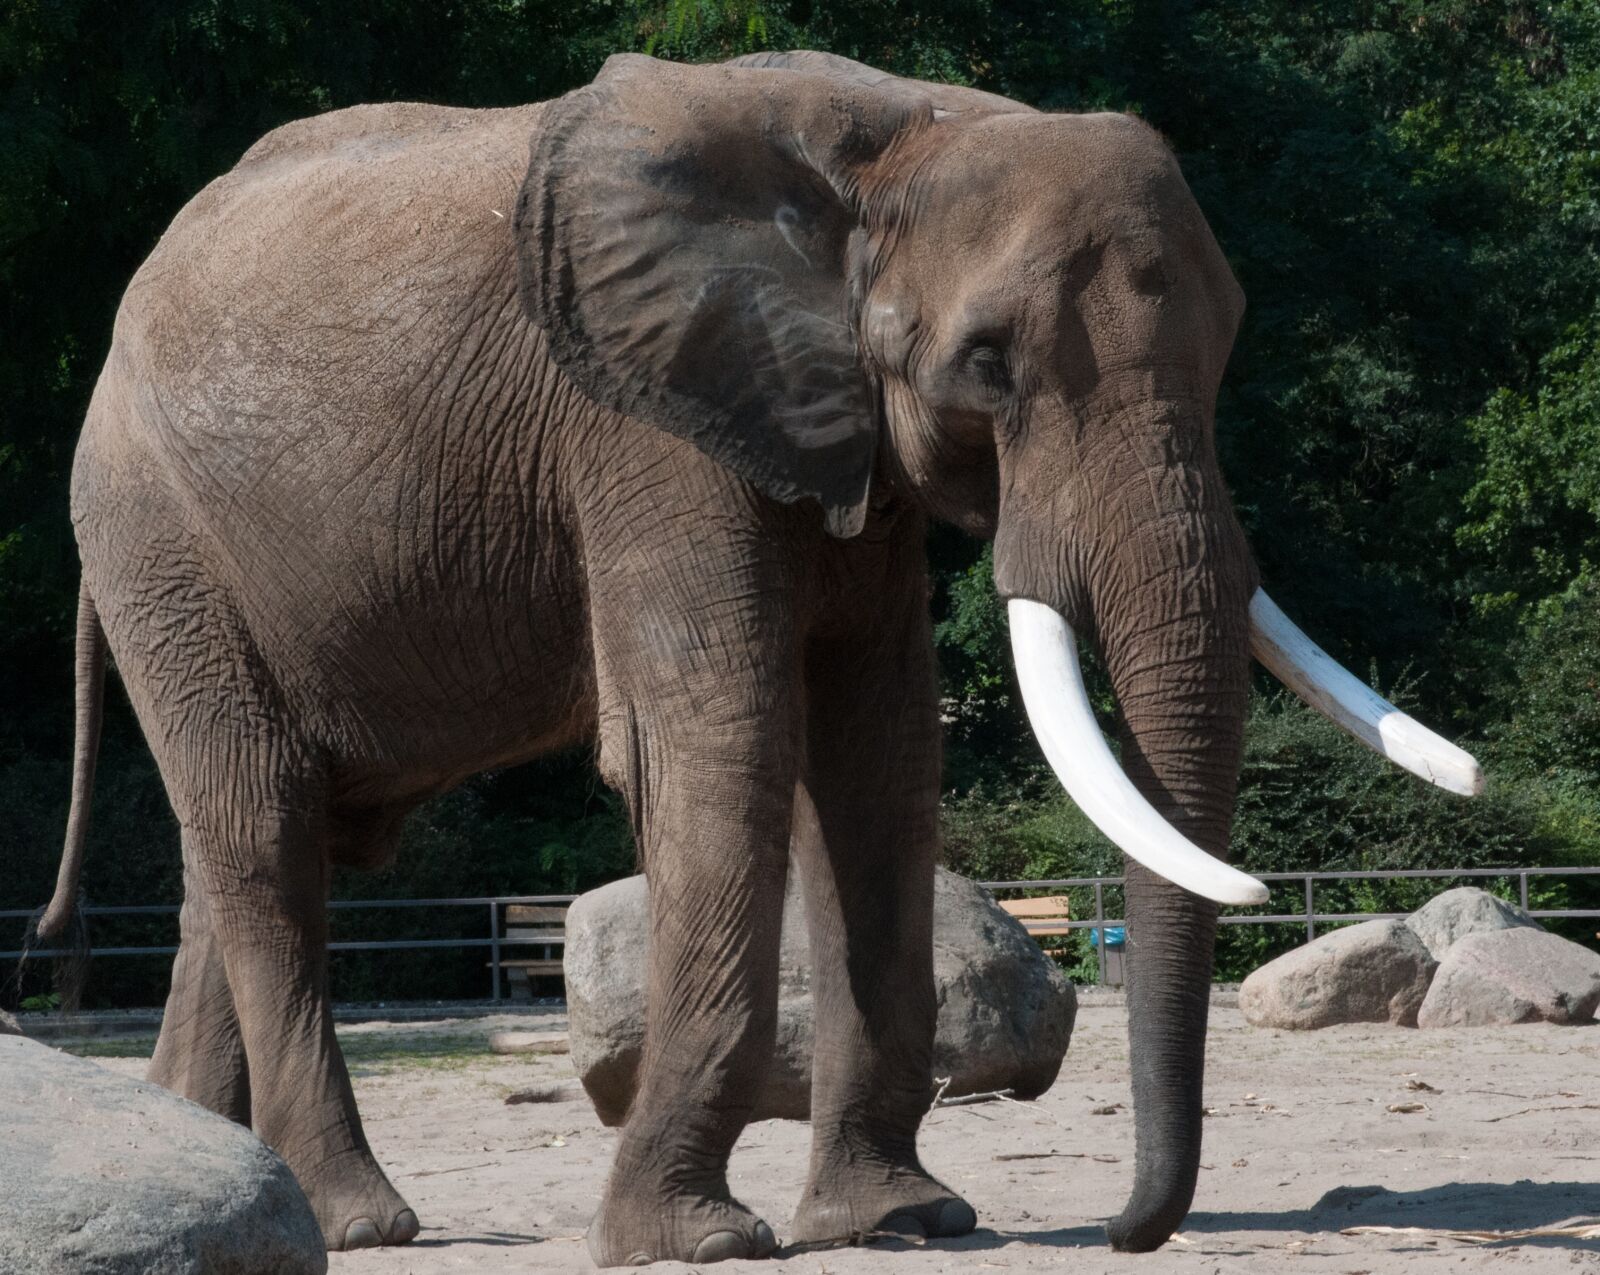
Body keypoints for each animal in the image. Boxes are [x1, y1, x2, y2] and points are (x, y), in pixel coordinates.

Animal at [35, 49, 1483, 1266]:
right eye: (988, 363)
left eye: (1230, 342)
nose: (1128, 1230)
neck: (899, 134)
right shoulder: (644, 420)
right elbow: (721, 734)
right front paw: (700, 1239)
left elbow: (879, 749)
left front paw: (904, 1220)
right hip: (155, 534)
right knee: (264, 830)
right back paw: (363, 1219)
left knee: (245, 849)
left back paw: (215, 1174)